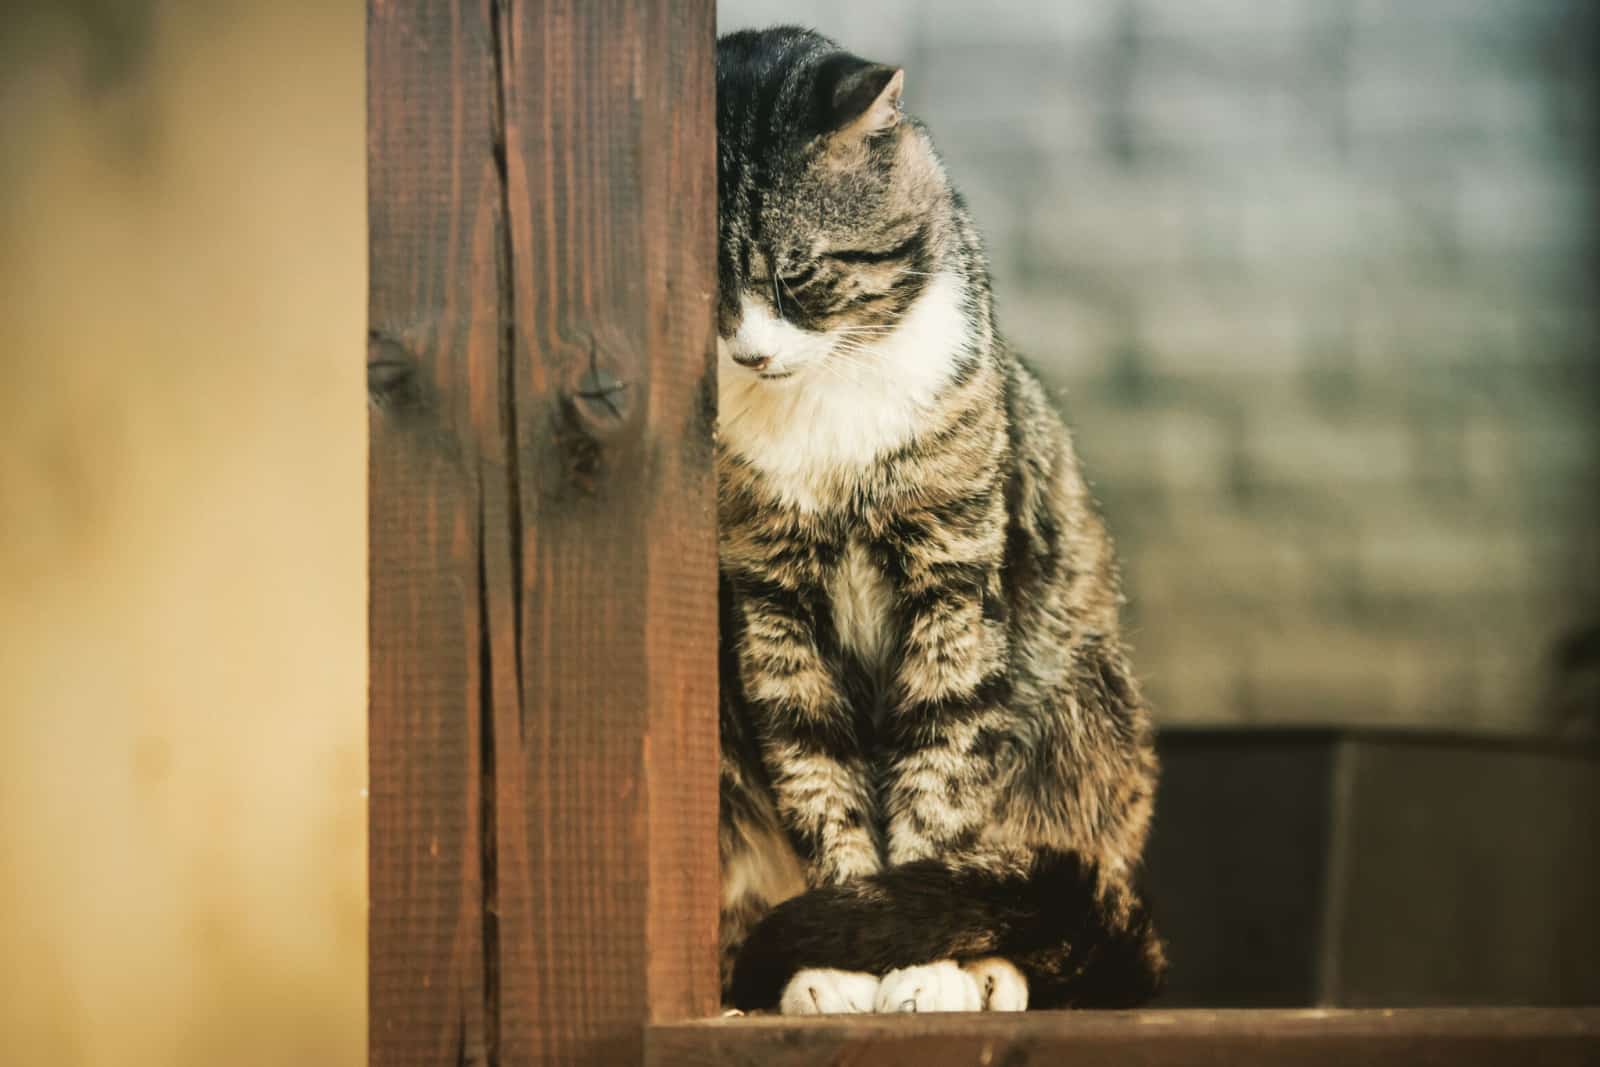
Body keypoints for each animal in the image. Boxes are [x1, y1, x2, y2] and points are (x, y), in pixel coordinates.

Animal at [713, 20, 1164, 1017]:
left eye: (799, 271)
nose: (749, 353)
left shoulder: (953, 581)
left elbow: (940, 770)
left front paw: (917, 964)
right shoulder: (772, 605)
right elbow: (816, 770)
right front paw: (840, 960)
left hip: (1088, 705)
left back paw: (988, 968)